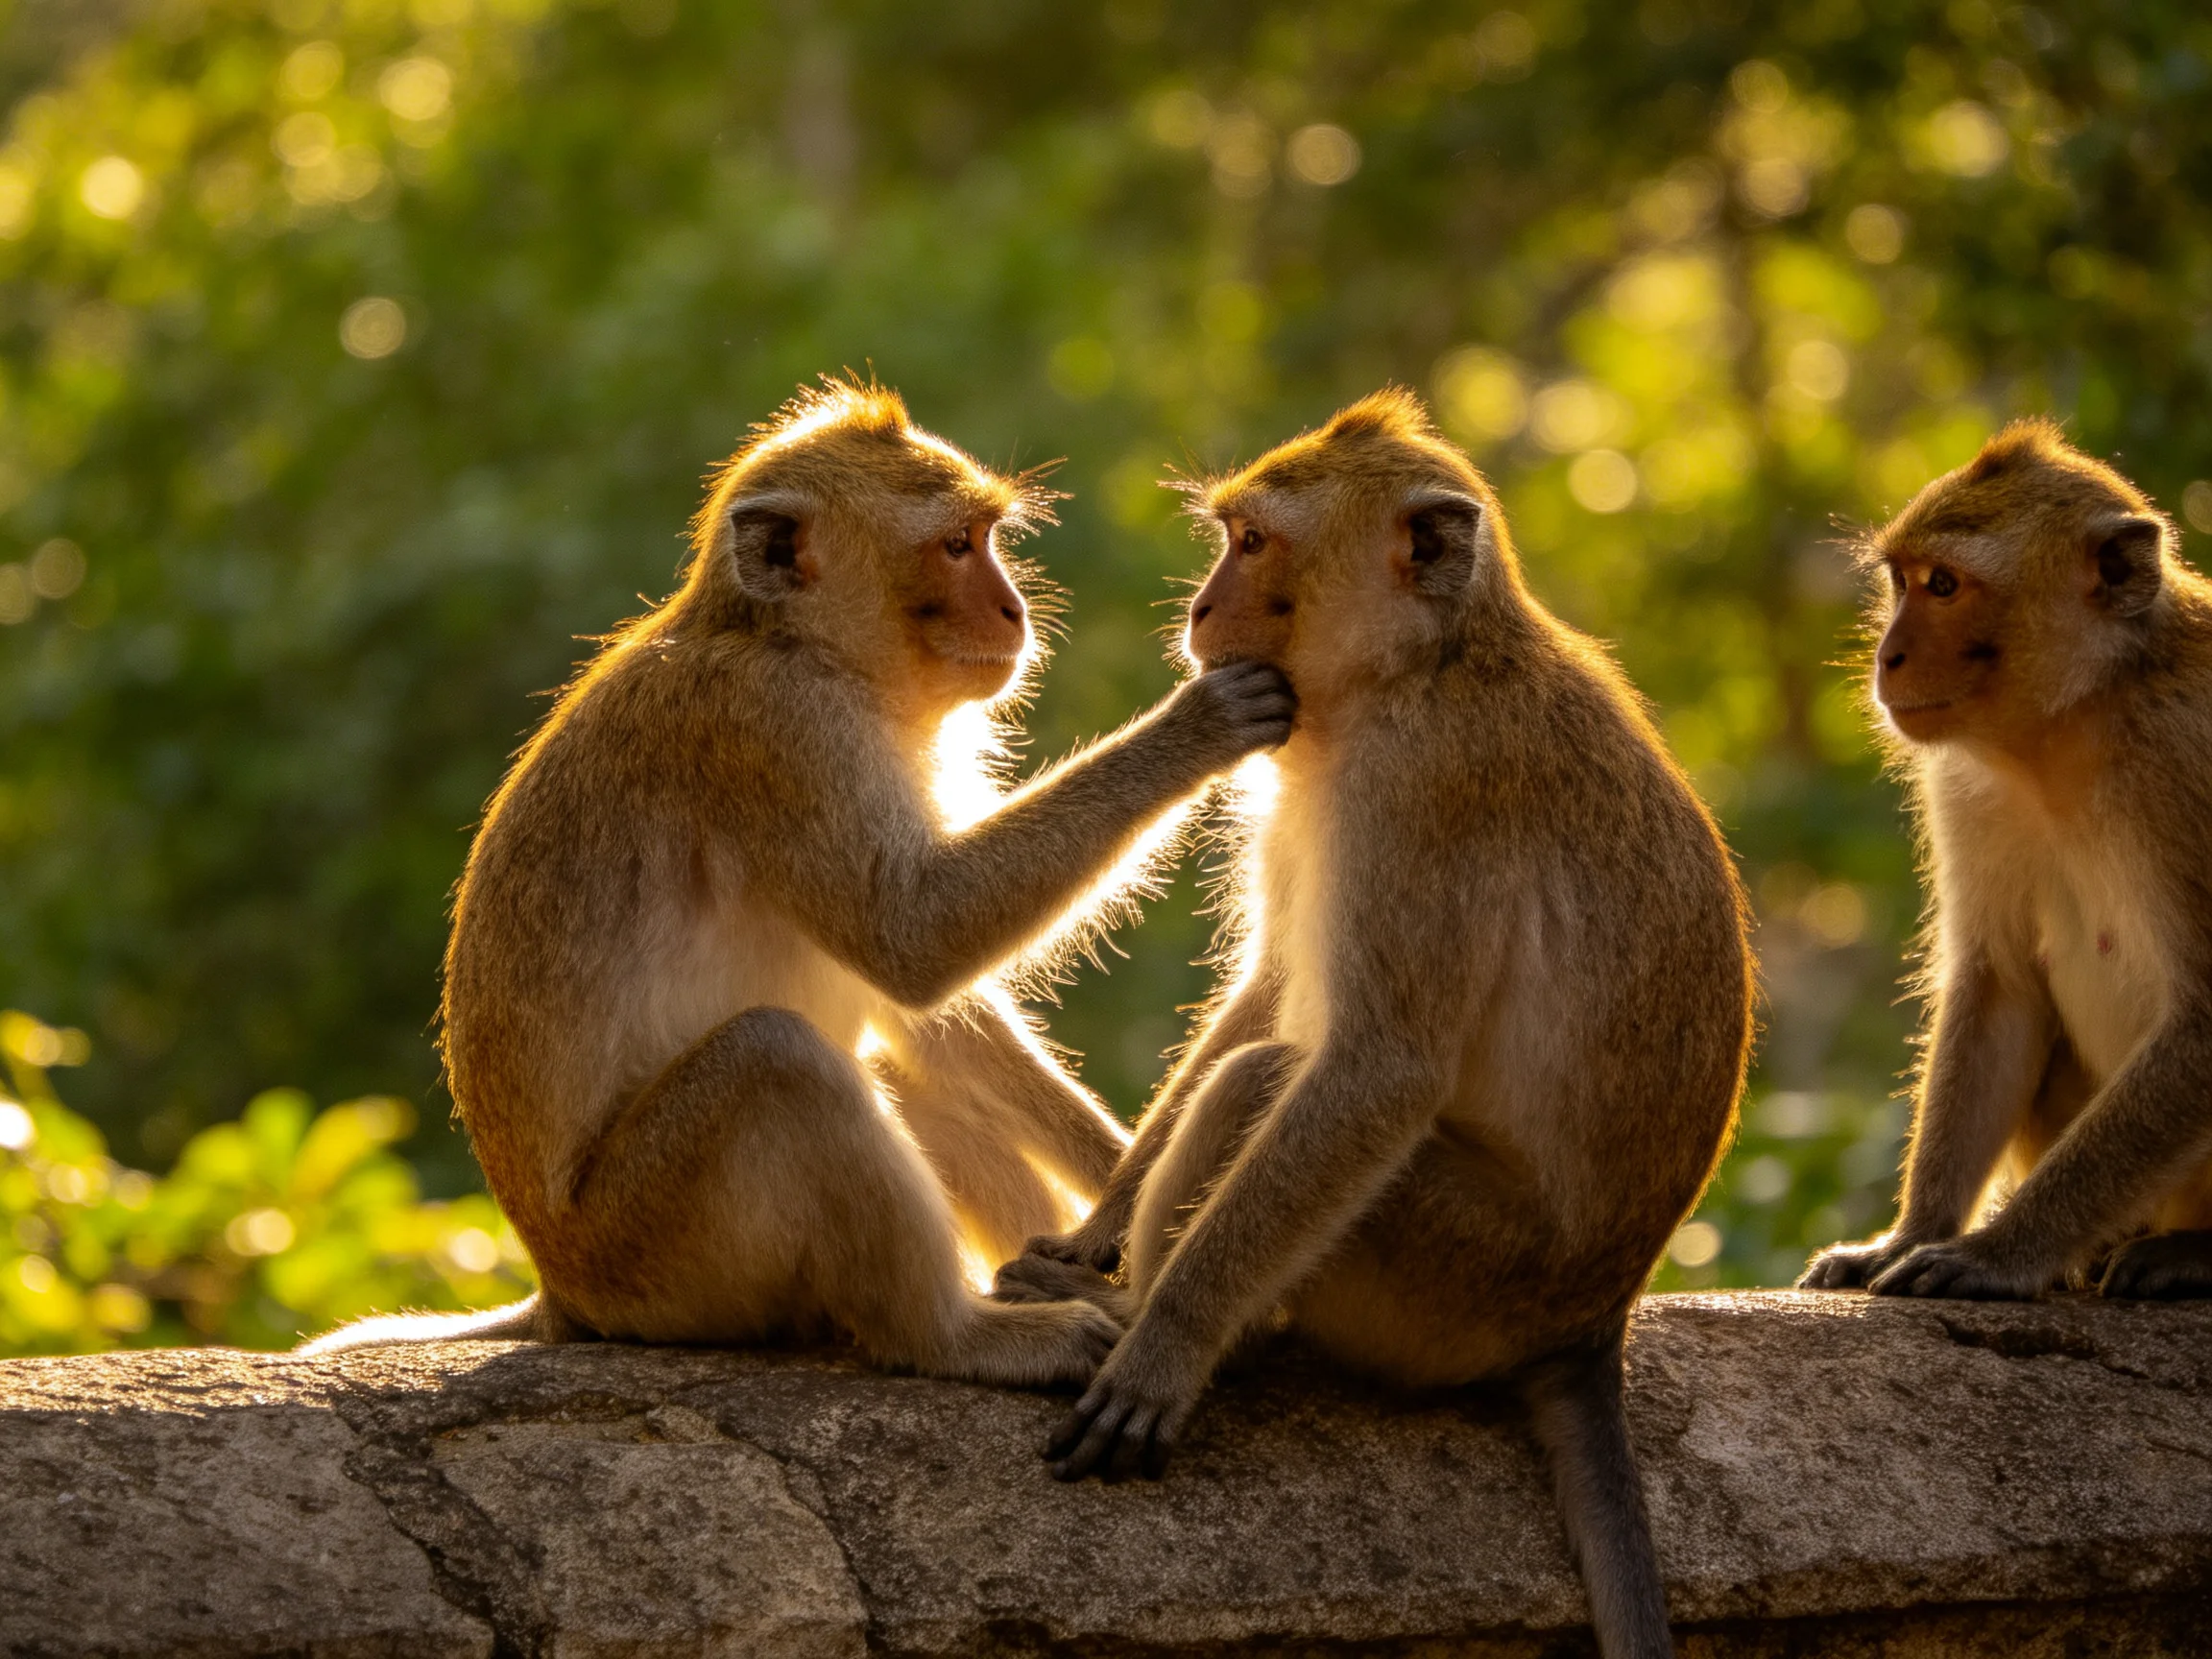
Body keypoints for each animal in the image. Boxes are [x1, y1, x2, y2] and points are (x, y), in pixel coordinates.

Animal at [300, 378, 1296, 1383]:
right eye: (955, 545)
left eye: (986, 536)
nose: (1015, 610)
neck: (796, 644)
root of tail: (560, 1291)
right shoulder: (779, 731)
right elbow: (912, 939)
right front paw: (1197, 725)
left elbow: (921, 1008)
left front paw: (1123, 1184)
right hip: (656, 1249)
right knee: (779, 1059)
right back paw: (961, 1335)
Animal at [998, 390, 1752, 1659]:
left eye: (1255, 542)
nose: (1200, 609)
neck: (1421, 669)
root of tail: (1591, 1325)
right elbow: (1268, 985)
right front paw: (1094, 1230)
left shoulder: (1426, 791)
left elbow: (1377, 1068)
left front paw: (1166, 1345)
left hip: (1453, 1281)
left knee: (1264, 1085)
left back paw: (1147, 1320)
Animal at [1801, 418, 2212, 1303]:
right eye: (1902, 582)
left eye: (1944, 585)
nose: (1886, 656)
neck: (2079, 720)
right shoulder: (1966, 785)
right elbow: (1999, 986)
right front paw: (1911, 1236)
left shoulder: (2184, 762)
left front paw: (2000, 1251)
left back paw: (2197, 1249)